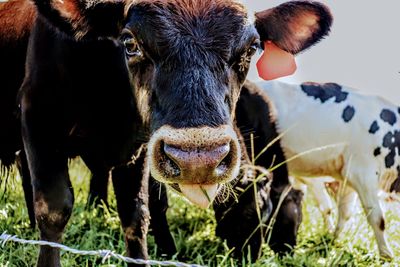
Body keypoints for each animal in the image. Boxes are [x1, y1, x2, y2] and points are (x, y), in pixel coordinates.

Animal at [0, 0, 332, 266]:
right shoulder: (38, 118)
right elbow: (55, 208)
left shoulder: (137, 148)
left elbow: (137, 213)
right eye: (130, 42)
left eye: (251, 49)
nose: (198, 158)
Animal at [253, 80, 400, 260]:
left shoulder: (348, 178)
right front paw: (387, 255)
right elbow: (377, 218)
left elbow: (344, 213)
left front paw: (332, 241)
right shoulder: (362, 173)